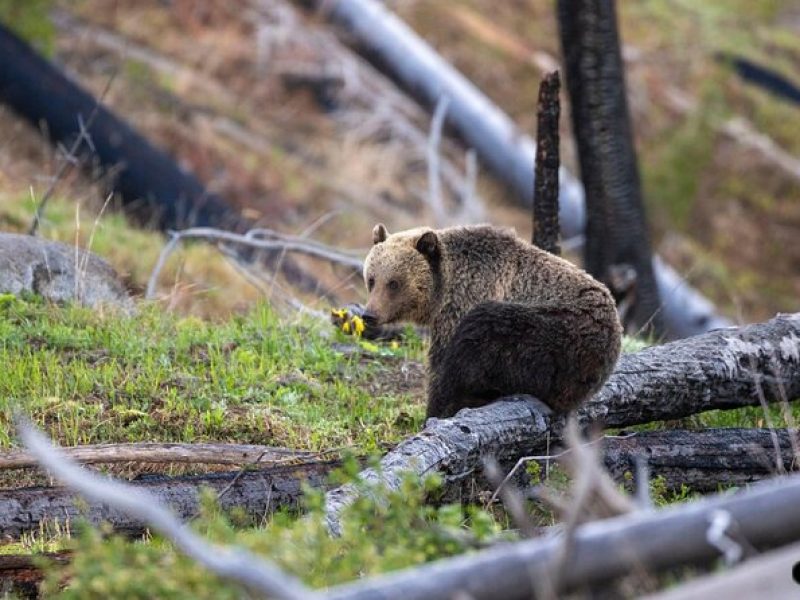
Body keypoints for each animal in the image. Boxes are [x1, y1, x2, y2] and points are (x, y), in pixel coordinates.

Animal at [364, 223, 624, 420]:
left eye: (394, 283)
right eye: (372, 279)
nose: (369, 315)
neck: (444, 288)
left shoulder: (464, 302)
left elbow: (443, 367)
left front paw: (435, 411)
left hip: (555, 337)